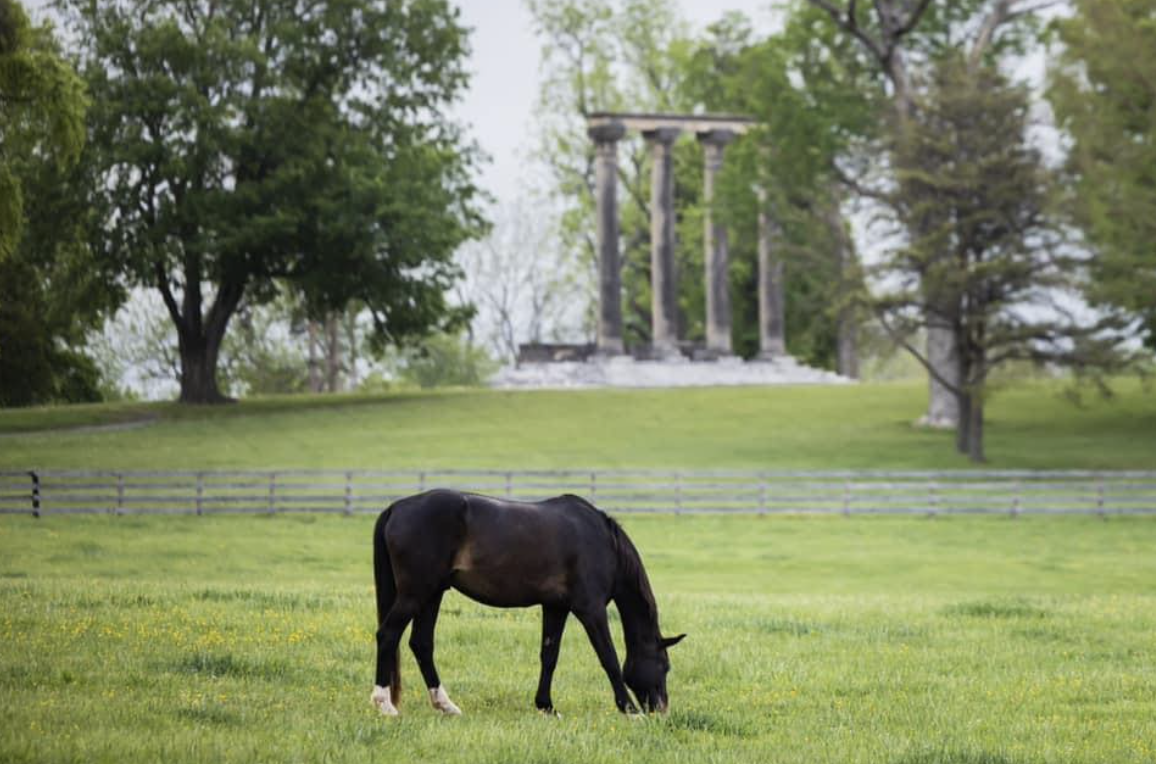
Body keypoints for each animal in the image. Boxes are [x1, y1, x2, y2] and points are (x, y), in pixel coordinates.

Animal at [369, 487, 679, 716]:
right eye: (664, 666)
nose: (661, 709)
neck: (603, 543)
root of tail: (397, 507)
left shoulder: (556, 607)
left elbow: (549, 656)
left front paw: (546, 706)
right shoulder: (590, 610)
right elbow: (609, 657)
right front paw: (629, 709)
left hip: (432, 594)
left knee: (421, 644)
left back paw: (445, 705)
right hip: (415, 594)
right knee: (388, 635)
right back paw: (384, 704)